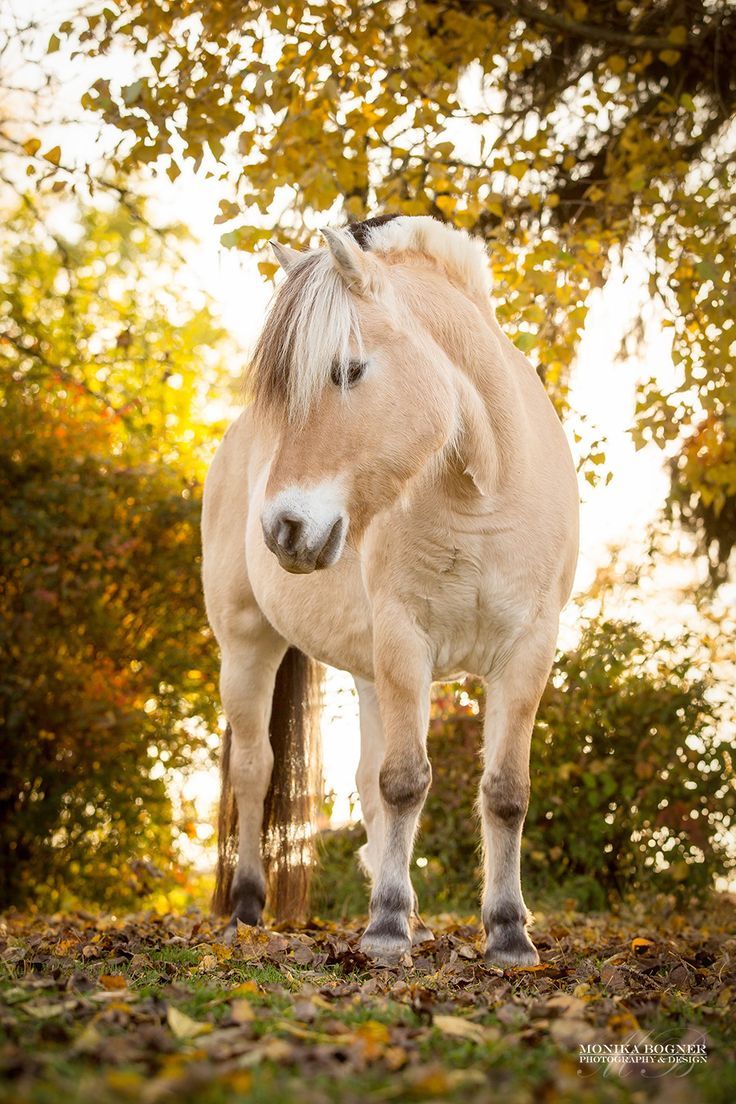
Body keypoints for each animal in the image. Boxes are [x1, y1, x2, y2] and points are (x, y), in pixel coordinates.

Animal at [203, 210, 582, 962]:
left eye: (349, 370)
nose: (284, 529)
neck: (482, 492)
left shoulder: (529, 649)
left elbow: (504, 791)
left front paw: (508, 933)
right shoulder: (407, 638)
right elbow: (405, 781)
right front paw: (384, 928)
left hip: (369, 669)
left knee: (362, 781)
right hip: (249, 645)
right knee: (256, 770)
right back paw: (248, 908)